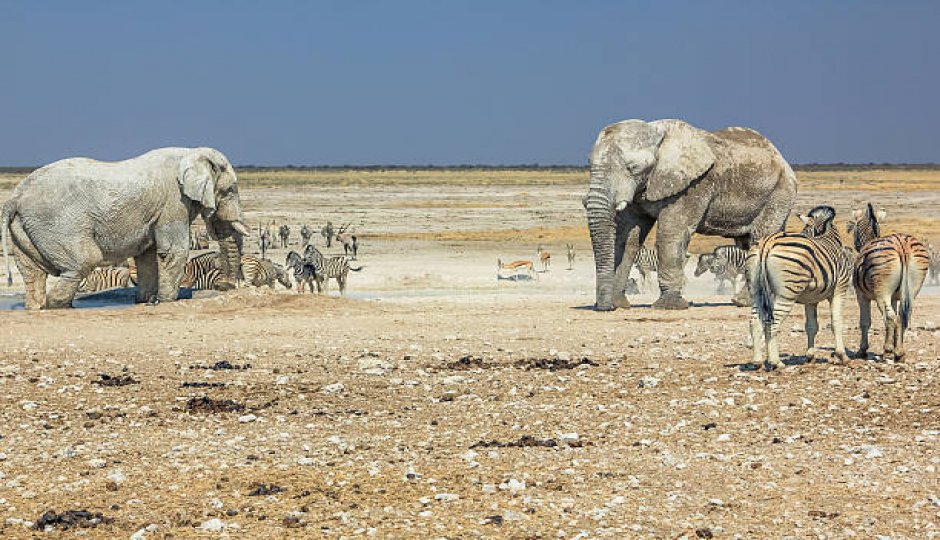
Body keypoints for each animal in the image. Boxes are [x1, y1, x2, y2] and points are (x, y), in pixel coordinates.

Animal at [1, 147, 252, 308]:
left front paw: (145, 302)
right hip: (57, 223)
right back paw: (56, 305)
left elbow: (148, 255)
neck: (192, 153)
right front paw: (168, 302)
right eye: (230, 190)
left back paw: (37, 307)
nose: (223, 286)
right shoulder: (174, 201)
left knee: (32, 272)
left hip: (24, 226)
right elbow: (172, 251)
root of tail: (15, 197)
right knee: (84, 260)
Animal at [588, 119, 792, 310]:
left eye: (632, 168)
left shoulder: (694, 185)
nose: (606, 307)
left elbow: (671, 233)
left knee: (760, 239)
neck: (657, 132)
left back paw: (744, 302)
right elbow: (627, 237)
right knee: (747, 243)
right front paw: (619, 303)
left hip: (779, 193)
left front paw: (668, 306)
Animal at [744, 205, 856, 370]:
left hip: (756, 291)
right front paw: (843, 356)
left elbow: (811, 326)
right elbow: (836, 323)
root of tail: (767, 242)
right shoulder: (839, 290)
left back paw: (757, 362)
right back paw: (776, 362)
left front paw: (810, 357)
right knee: (772, 323)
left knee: (755, 321)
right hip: (786, 293)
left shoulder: (811, 299)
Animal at [848, 205, 928, 360]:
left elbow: (865, 322)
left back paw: (888, 350)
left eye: (854, 231)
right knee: (902, 316)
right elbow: (896, 319)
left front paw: (862, 351)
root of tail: (902, 245)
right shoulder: (895, 298)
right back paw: (900, 353)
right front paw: (895, 344)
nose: (855, 245)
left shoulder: (861, 296)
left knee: (890, 318)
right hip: (913, 288)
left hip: (881, 291)